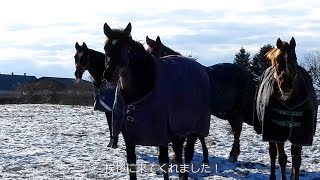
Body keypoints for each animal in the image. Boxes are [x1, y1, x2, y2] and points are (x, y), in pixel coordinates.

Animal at [103, 22, 212, 180]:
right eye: (106, 48)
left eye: (124, 48)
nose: (109, 75)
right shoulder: (129, 138)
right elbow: (132, 164)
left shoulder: (162, 136)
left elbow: (164, 162)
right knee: (179, 153)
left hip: (193, 129)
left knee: (188, 154)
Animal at [255, 37, 318, 179]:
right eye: (277, 60)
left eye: (294, 57)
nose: (286, 85)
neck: (290, 102)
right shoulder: (277, 133)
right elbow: (282, 159)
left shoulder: (300, 135)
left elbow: (297, 161)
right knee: (273, 153)